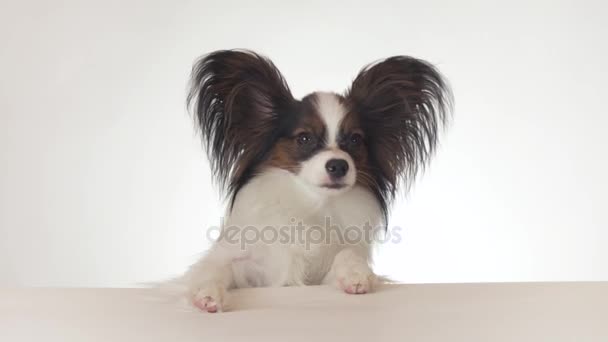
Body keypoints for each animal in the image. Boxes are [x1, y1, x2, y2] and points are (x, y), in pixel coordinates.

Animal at [180, 48, 452, 312]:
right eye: (304, 138)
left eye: (355, 140)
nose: (339, 165)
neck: (313, 204)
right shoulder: (250, 265)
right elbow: (215, 268)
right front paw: (208, 294)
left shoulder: (322, 276)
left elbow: (346, 255)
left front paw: (356, 274)